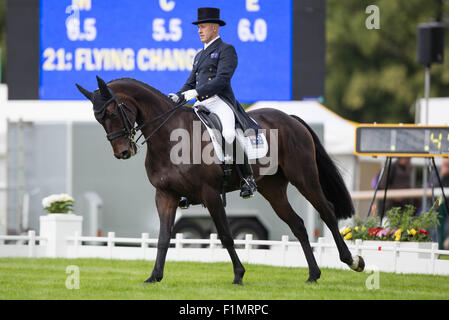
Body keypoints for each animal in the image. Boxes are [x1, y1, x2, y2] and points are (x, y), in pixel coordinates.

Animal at [76, 77, 364, 284]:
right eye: (99, 119)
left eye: (113, 112)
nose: (123, 152)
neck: (170, 137)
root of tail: (290, 118)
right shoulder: (165, 195)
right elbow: (163, 236)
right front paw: (154, 277)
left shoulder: (211, 194)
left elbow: (225, 236)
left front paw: (238, 275)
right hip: (273, 189)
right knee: (298, 225)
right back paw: (313, 275)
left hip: (304, 178)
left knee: (327, 212)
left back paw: (353, 261)